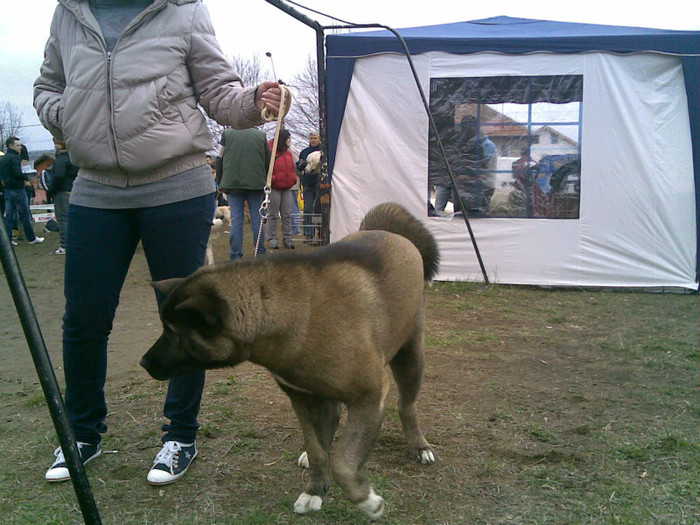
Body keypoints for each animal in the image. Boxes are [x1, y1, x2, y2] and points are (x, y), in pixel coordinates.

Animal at [139, 203, 440, 516]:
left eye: (172, 332)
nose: (144, 363)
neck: (297, 314)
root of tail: (390, 232)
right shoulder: (301, 397)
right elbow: (319, 452)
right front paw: (315, 489)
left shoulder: (370, 396)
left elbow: (343, 463)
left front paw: (366, 500)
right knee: (333, 418)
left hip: (410, 357)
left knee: (407, 406)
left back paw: (419, 445)